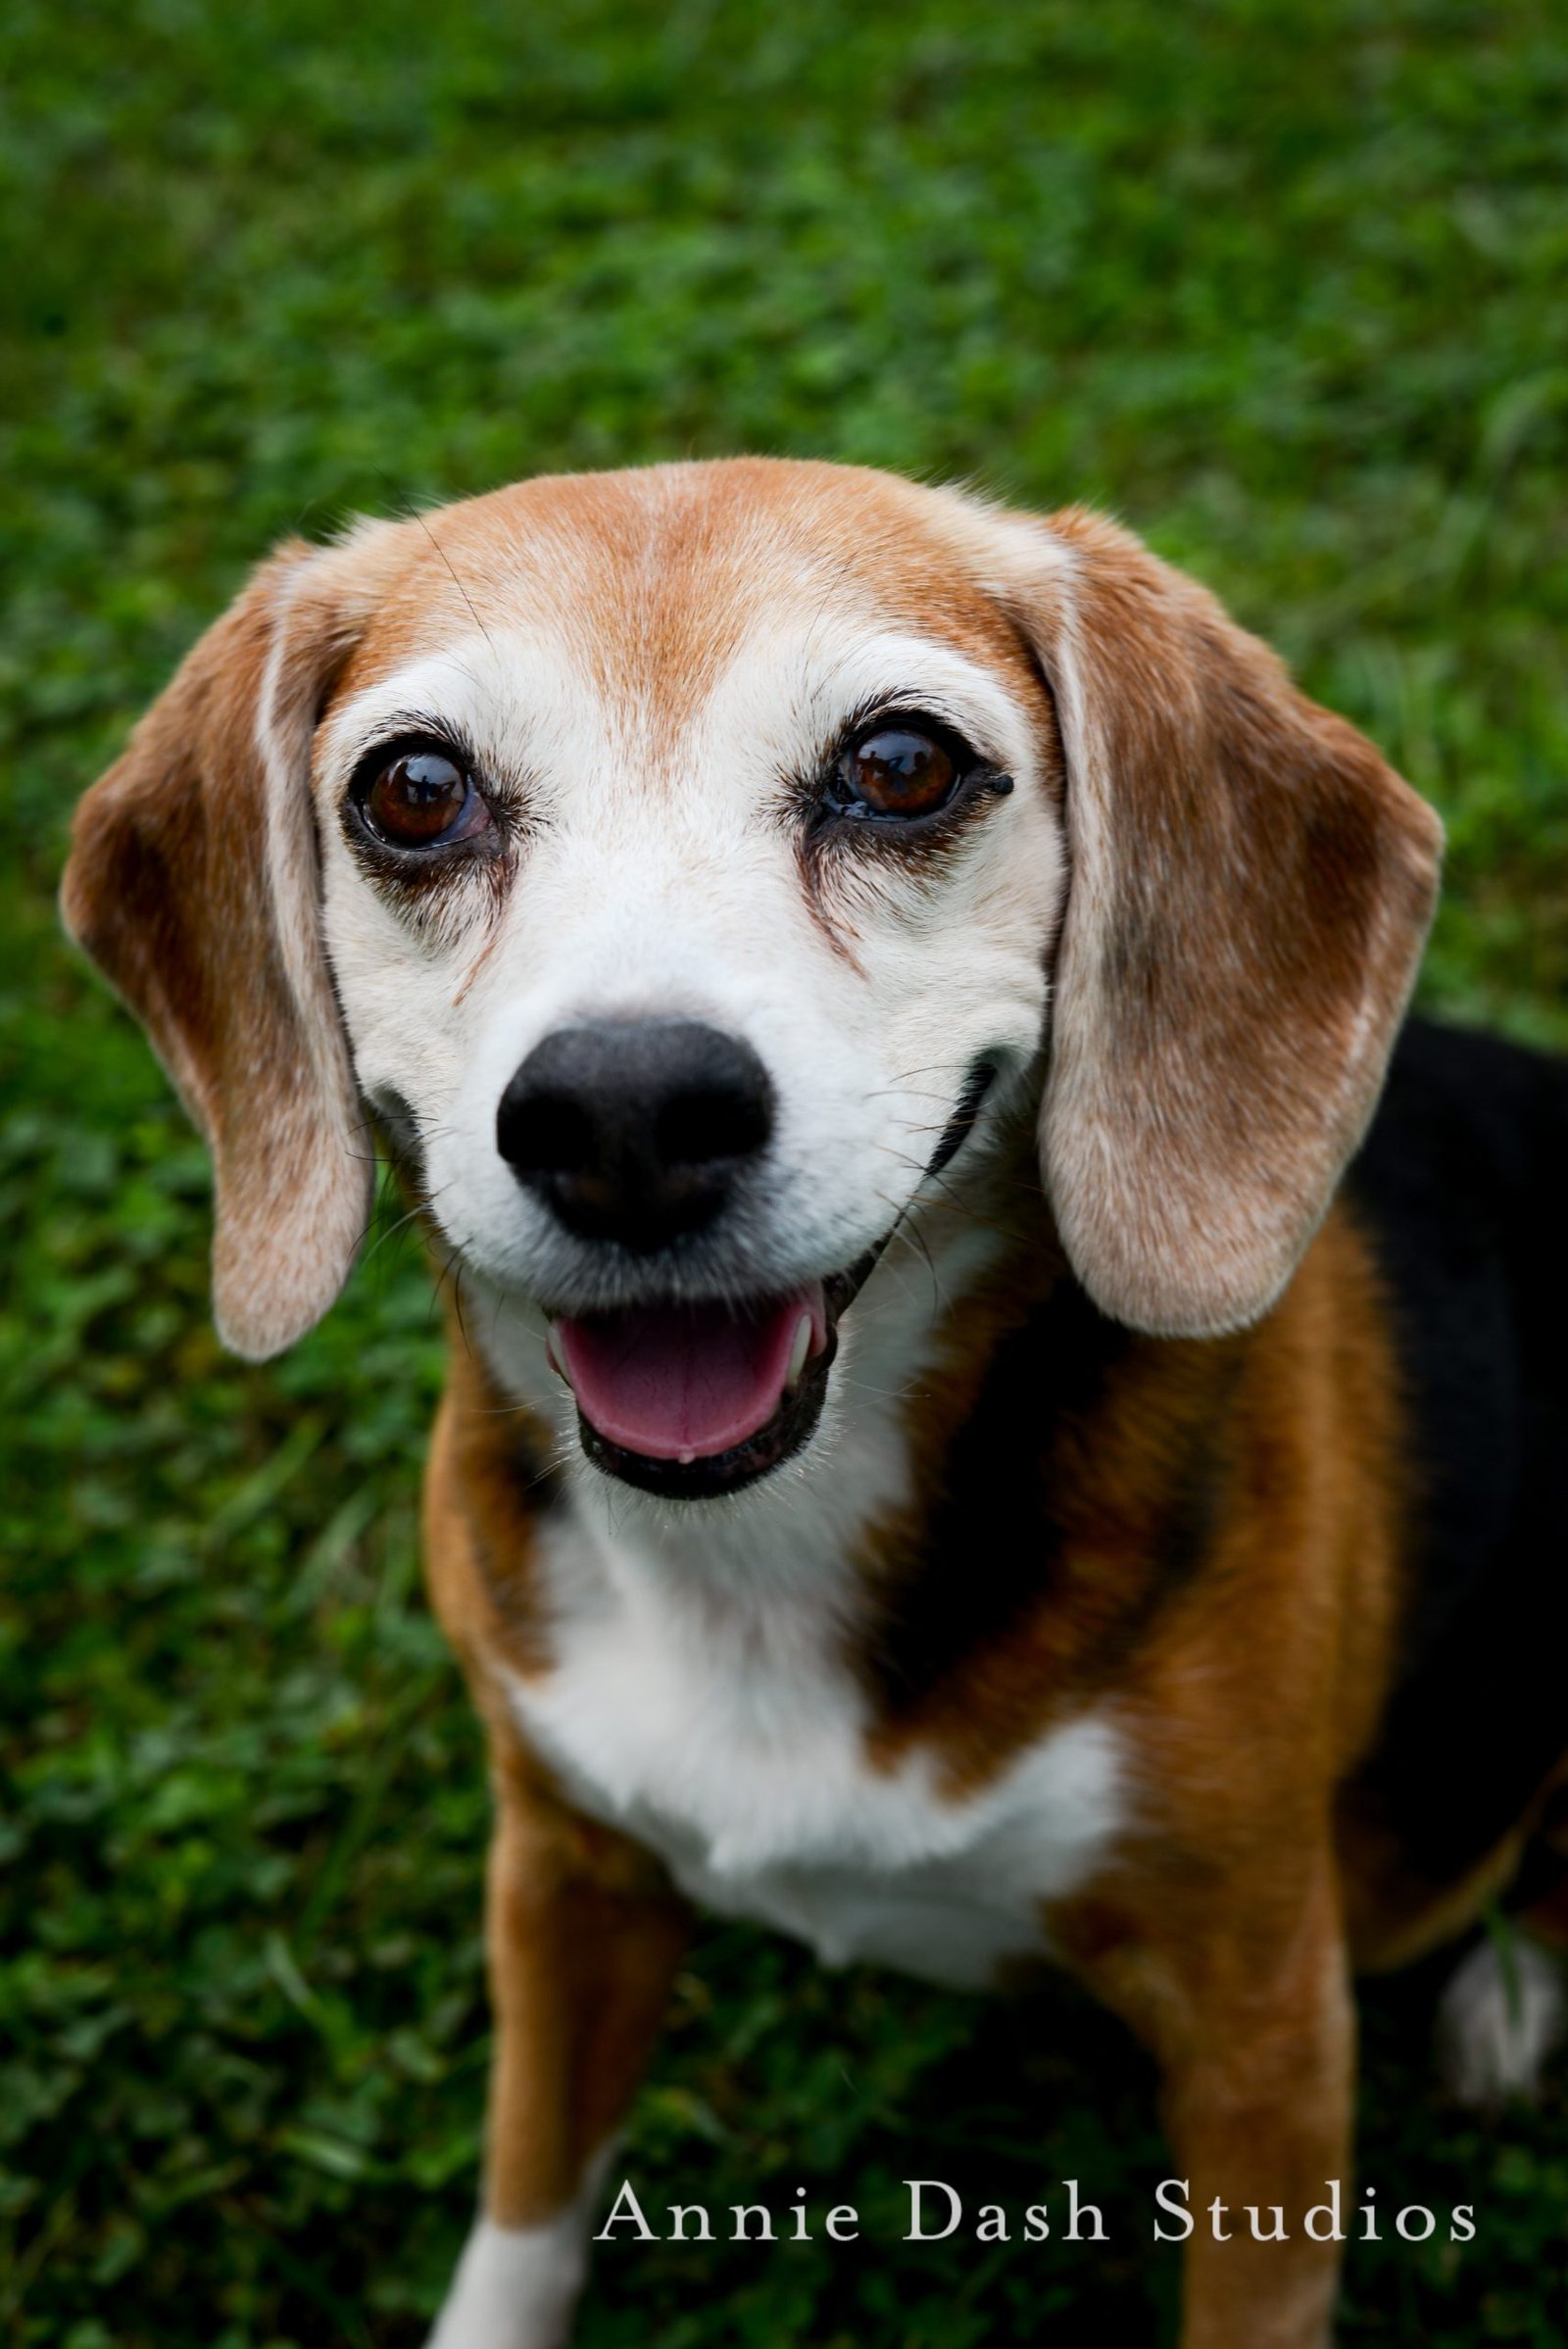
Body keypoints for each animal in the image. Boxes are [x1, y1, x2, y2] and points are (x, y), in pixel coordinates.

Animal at [61, 463, 1568, 2349]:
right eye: (413, 792)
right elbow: (526, 2207)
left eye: (901, 763)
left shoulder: (1263, 2015)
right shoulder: (562, 1872)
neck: (757, 1550)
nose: (625, 1114)